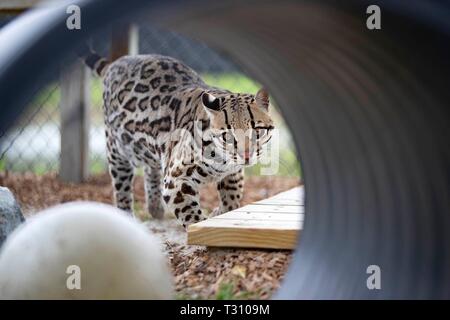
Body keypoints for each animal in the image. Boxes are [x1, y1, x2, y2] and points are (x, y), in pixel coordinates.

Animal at [81, 49, 274, 228]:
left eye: (257, 131)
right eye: (227, 135)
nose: (246, 155)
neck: (222, 160)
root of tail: (116, 64)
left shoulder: (233, 173)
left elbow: (232, 199)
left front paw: (219, 212)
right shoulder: (176, 180)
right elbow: (192, 217)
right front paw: (201, 227)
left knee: (151, 167)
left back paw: (155, 206)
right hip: (117, 151)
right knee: (122, 189)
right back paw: (127, 215)